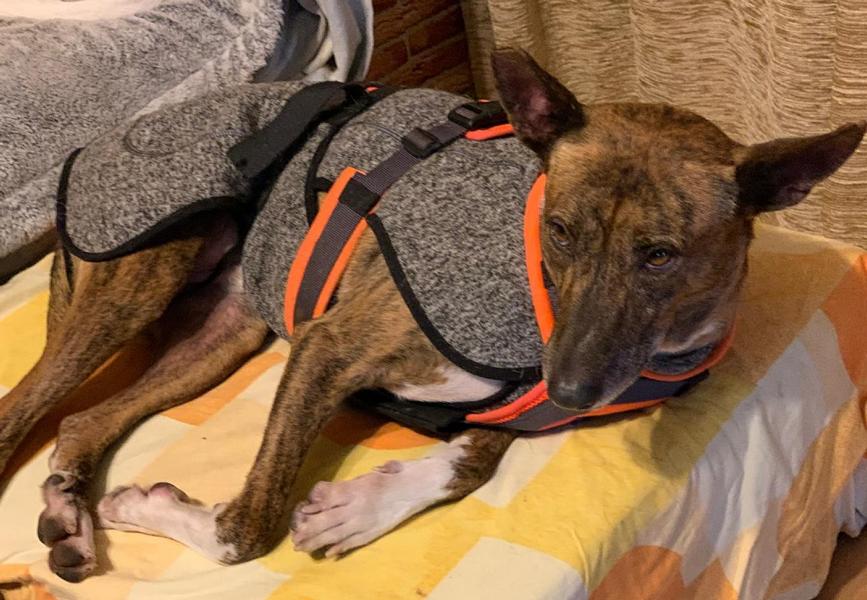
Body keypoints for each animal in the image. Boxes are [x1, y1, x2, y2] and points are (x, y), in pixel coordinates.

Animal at [0, 49, 863, 583]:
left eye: (660, 255)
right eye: (558, 229)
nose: (572, 387)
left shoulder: (510, 404)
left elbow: (473, 455)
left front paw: (358, 506)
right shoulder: (329, 344)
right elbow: (246, 528)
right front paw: (172, 510)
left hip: (224, 332)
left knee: (81, 422)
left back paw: (71, 509)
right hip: (139, 279)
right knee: (24, 409)